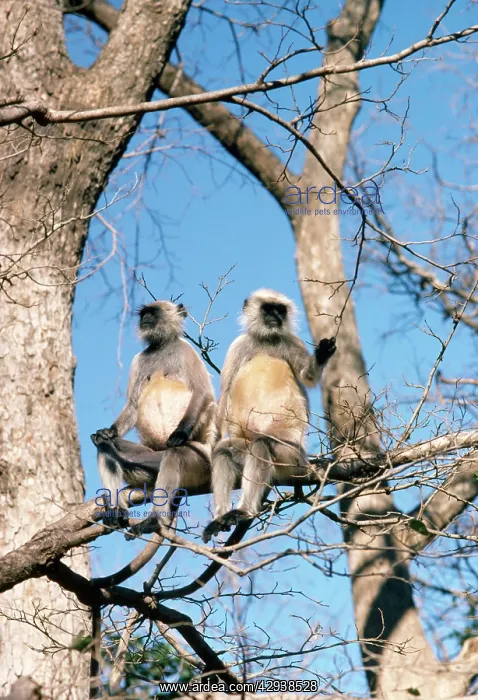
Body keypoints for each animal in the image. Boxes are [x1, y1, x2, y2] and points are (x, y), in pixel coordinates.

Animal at [91, 300, 217, 534]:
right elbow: (133, 404)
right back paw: (116, 511)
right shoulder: (139, 360)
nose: (145, 319)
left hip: (201, 460)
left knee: (175, 454)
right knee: (103, 445)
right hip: (150, 464)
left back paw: (153, 519)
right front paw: (109, 431)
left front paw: (179, 433)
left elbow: (203, 393)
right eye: (144, 314)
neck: (161, 346)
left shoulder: (186, 350)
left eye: (153, 312)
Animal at [202, 289, 336, 543]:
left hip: (291, 456)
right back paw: (221, 517)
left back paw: (244, 510)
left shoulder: (290, 341)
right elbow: (225, 396)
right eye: (268, 308)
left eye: (280, 309)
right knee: (225, 450)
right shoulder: (239, 346)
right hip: (245, 446)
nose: (275, 316)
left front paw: (322, 355)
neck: (266, 341)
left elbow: (309, 376)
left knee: (262, 444)